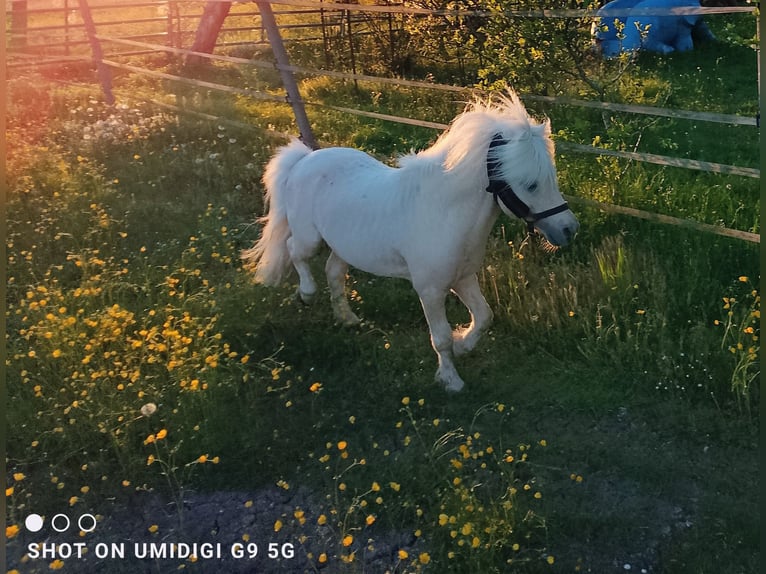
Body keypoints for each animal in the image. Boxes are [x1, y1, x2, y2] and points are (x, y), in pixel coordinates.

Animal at [242, 90, 579, 392]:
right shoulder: (430, 290)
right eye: (531, 185)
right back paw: (306, 295)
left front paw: (463, 346)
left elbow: (484, 317)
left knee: (333, 273)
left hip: (345, 246)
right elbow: (440, 338)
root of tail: (304, 159)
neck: (445, 212)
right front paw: (450, 380)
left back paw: (348, 319)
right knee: (295, 252)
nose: (569, 229)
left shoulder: (464, 278)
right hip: (309, 237)